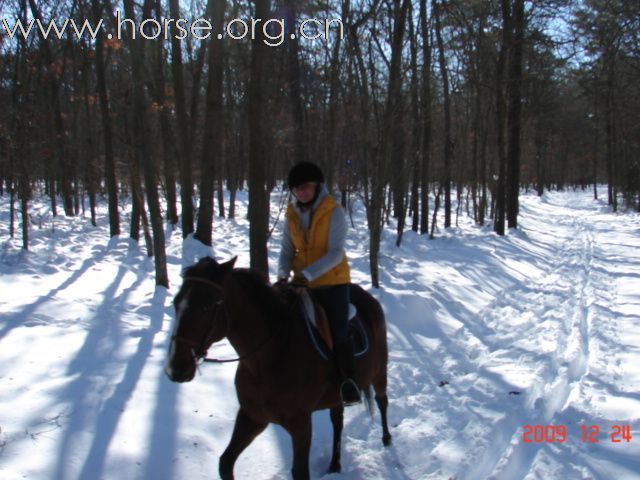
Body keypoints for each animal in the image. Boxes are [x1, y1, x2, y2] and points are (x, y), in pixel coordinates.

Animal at [165, 256, 390, 478]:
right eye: (176, 303)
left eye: (210, 304)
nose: (176, 368)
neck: (269, 357)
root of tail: (369, 299)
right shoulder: (252, 416)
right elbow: (225, 463)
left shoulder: (301, 425)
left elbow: (300, 472)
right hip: (336, 395)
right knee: (337, 420)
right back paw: (335, 464)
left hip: (379, 372)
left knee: (382, 401)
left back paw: (386, 439)